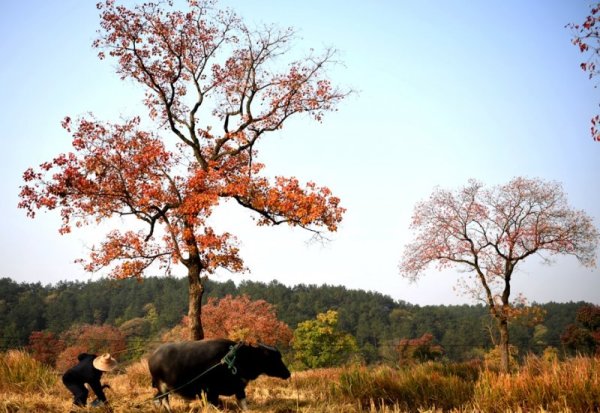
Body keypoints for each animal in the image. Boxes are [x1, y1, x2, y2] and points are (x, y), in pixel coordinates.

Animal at [149, 336, 292, 410]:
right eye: (274, 358)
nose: (288, 373)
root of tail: (152, 357)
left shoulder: (239, 388)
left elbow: (244, 405)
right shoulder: (210, 391)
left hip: (163, 388)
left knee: (156, 398)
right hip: (162, 387)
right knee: (164, 400)